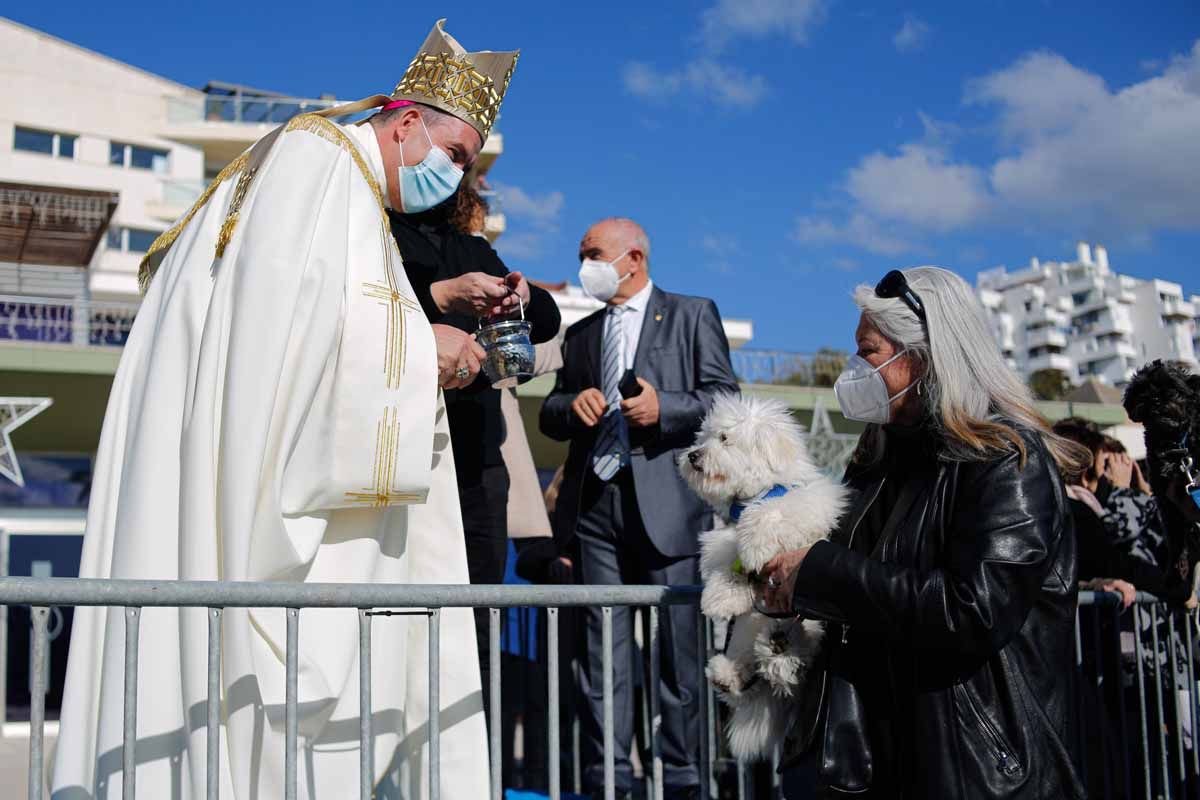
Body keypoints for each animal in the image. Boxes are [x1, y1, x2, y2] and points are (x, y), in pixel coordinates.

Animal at [681, 393, 849, 762]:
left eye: (725, 438)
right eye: (704, 437)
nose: (693, 455)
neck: (755, 493)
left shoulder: (807, 506)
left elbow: (772, 515)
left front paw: (757, 544)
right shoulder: (724, 540)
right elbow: (728, 566)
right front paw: (718, 597)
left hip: (810, 629)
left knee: (797, 662)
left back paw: (784, 650)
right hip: (747, 631)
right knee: (755, 670)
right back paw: (732, 673)